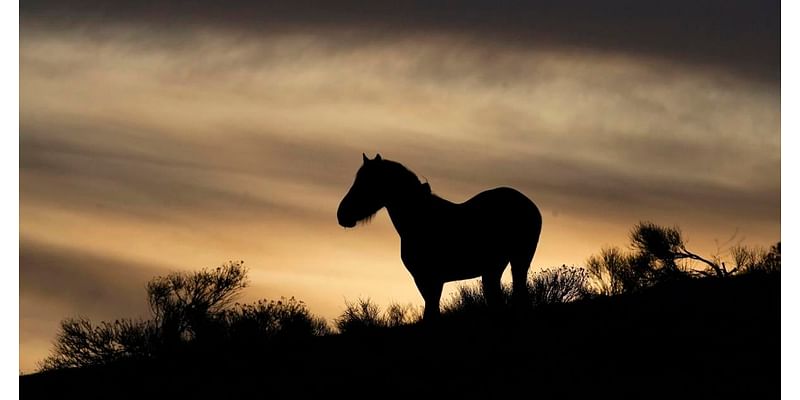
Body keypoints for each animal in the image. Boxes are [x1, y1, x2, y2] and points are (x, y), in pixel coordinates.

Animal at [334, 155, 540, 320]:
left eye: (367, 182)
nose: (342, 215)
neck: (422, 220)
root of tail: (529, 204)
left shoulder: (430, 279)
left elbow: (431, 313)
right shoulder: (425, 280)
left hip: (516, 261)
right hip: (496, 268)